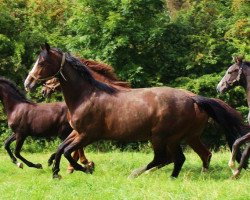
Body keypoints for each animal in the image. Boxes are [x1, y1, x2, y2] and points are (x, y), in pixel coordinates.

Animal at [23, 43, 248, 178]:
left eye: (42, 62)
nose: (29, 84)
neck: (86, 95)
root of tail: (193, 98)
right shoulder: (77, 132)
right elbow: (61, 148)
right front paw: (56, 171)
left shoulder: (88, 134)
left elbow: (68, 151)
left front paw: (83, 168)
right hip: (184, 137)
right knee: (192, 156)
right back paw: (179, 176)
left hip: (162, 137)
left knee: (165, 158)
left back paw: (136, 174)